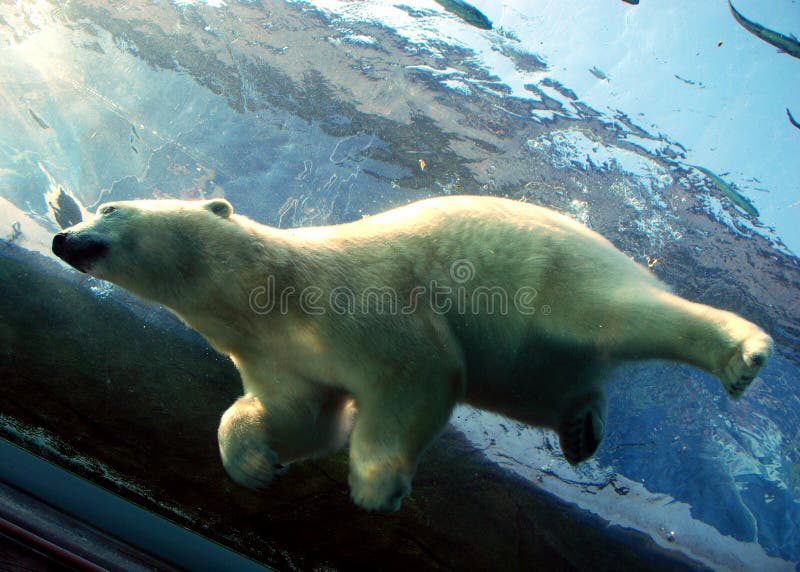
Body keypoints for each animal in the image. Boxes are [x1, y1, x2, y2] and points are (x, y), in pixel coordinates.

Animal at [51, 196, 776, 510]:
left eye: (110, 206)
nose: (62, 236)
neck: (271, 287)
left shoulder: (350, 299)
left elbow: (416, 370)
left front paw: (377, 487)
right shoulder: (276, 352)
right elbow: (299, 416)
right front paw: (255, 465)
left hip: (558, 273)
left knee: (618, 315)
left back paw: (741, 352)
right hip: (531, 365)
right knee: (548, 383)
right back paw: (580, 427)